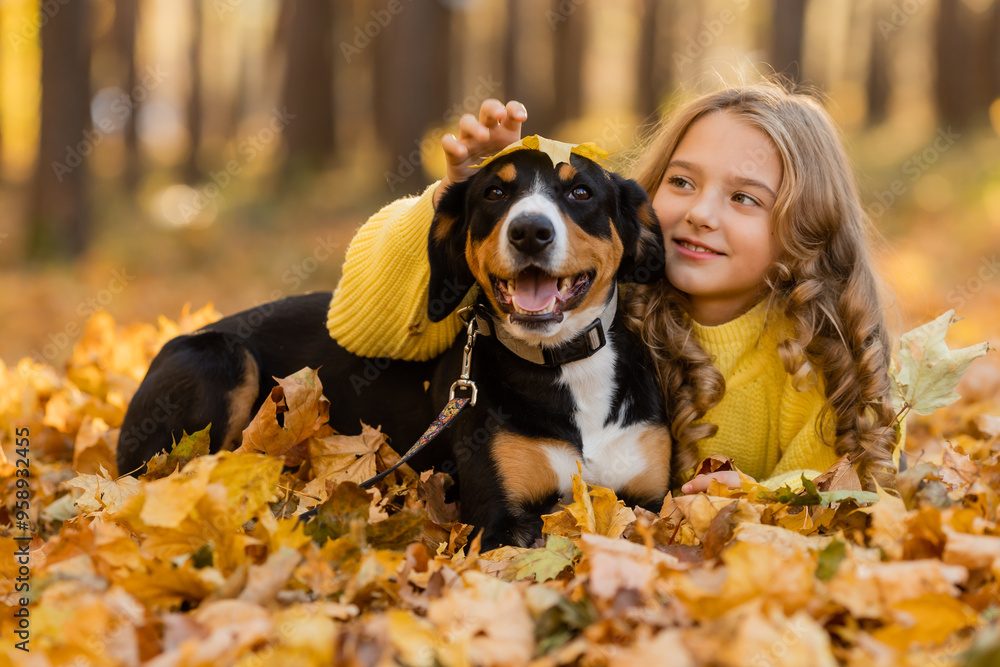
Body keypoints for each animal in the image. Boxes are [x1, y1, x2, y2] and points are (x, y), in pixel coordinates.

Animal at [117, 145, 680, 548]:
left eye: (581, 192)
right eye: (495, 193)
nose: (530, 231)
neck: (563, 363)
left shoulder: (649, 500)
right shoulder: (497, 519)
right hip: (221, 359)